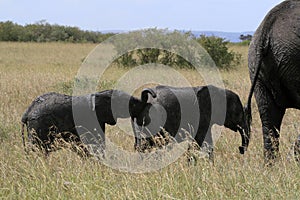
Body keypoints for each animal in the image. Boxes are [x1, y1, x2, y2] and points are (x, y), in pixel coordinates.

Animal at [21, 89, 156, 156]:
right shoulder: (91, 120)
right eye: (130, 104)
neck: (99, 94)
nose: (153, 95)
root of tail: (27, 113)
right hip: (39, 127)